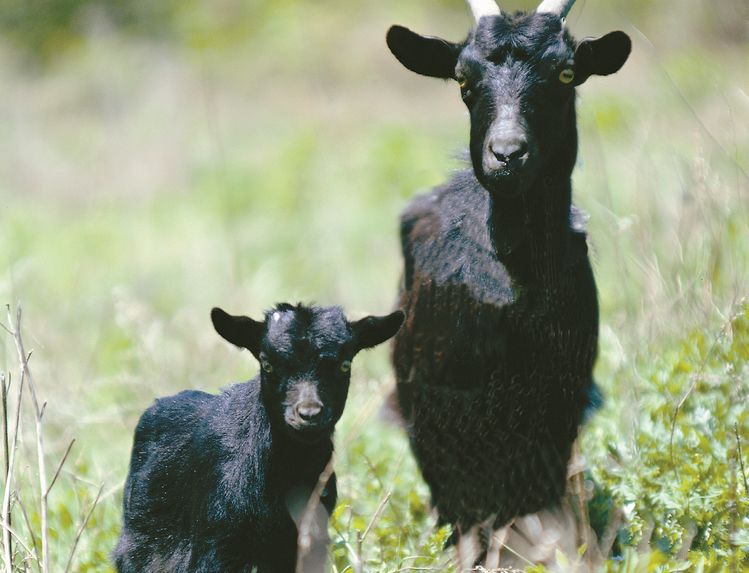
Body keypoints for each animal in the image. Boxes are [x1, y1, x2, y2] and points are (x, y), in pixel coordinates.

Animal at [386, 0, 632, 564]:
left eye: (565, 73)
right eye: (462, 79)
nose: (506, 153)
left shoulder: (558, 407)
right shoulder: (439, 407)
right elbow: (464, 507)